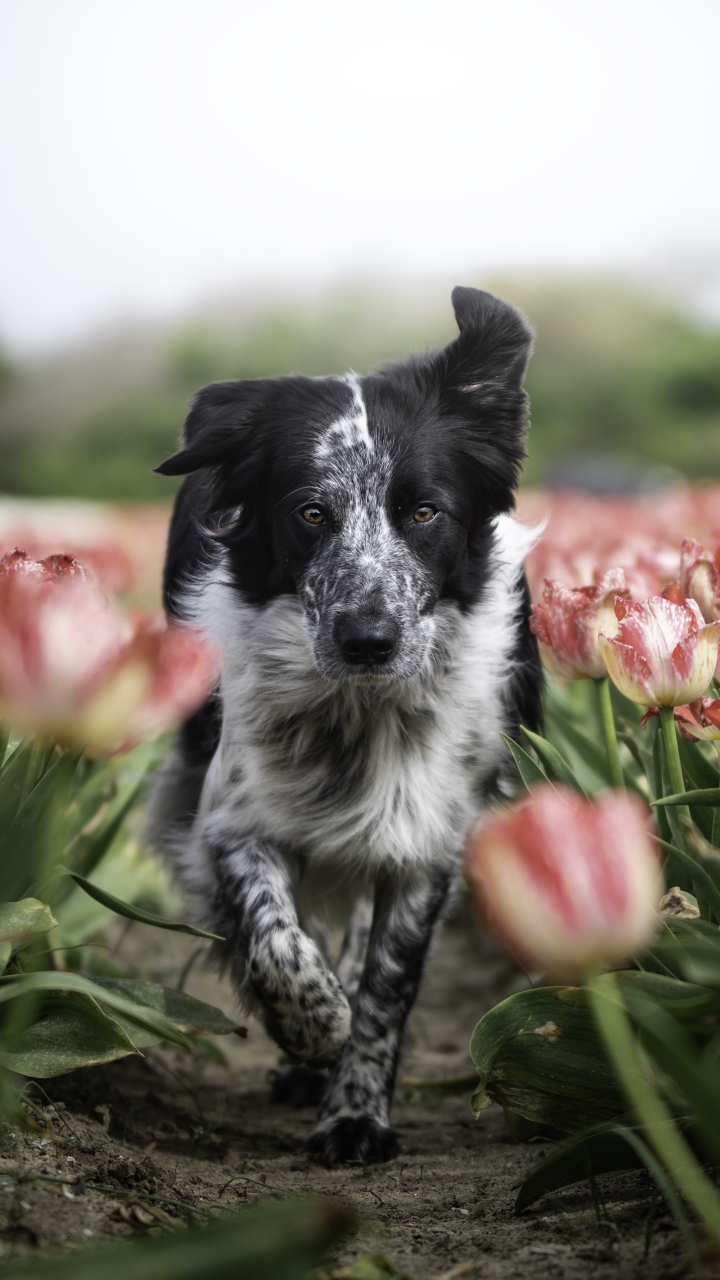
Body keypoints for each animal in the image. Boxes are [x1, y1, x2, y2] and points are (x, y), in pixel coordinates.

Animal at [148, 290, 540, 1172]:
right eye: (310, 513)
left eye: (424, 512)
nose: (369, 639)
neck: (357, 712)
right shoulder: (230, 818)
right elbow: (275, 939)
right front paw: (312, 1026)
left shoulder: (428, 842)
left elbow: (384, 989)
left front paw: (356, 1111)